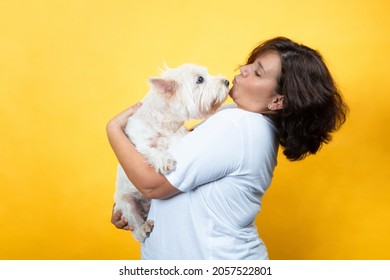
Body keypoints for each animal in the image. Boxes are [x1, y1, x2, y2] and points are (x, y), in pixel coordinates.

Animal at [113, 63, 229, 241]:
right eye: (200, 79)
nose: (227, 82)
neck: (164, 122)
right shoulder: (141, 144)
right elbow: (152, 151)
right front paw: (164, 161)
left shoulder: (177, 133)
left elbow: (177, 137)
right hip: (126, 202)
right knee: (135, 225)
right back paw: (144, 228)